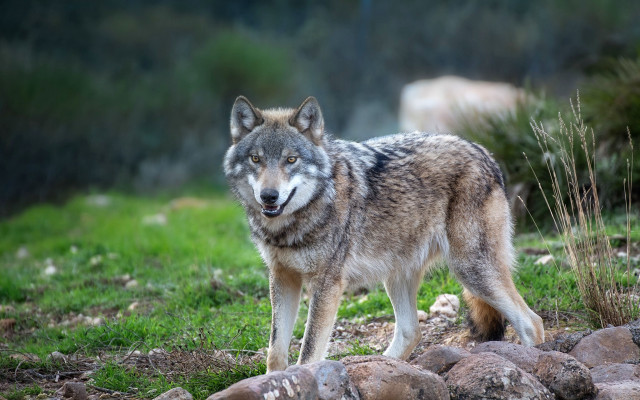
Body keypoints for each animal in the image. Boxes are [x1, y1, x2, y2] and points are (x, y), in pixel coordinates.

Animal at [224, 96, 544, 372]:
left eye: (291, 160)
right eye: (255, 159)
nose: (269, 196)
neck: (292, 225)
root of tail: (484, 152)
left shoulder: (327, 284)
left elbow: (308, 352)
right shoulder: (282, 277)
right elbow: (275, 352)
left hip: (471, 270)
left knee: (532, 322)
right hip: (399, 276)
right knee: (411, 331)